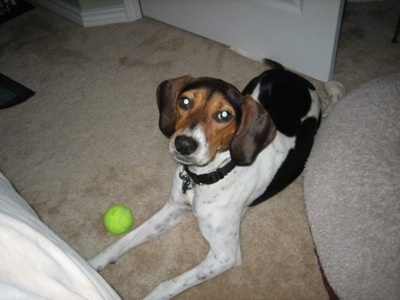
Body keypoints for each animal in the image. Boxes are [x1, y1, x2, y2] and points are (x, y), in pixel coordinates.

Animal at [88, 59, 322, 298]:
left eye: (224, 115)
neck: (203, 178)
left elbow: (167, 284)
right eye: (185, 101)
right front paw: (90, 267)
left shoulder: (224, 255)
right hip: (253, 89)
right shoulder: (172, 211)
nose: (184, 144)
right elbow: (123, 241)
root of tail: (294, 75)